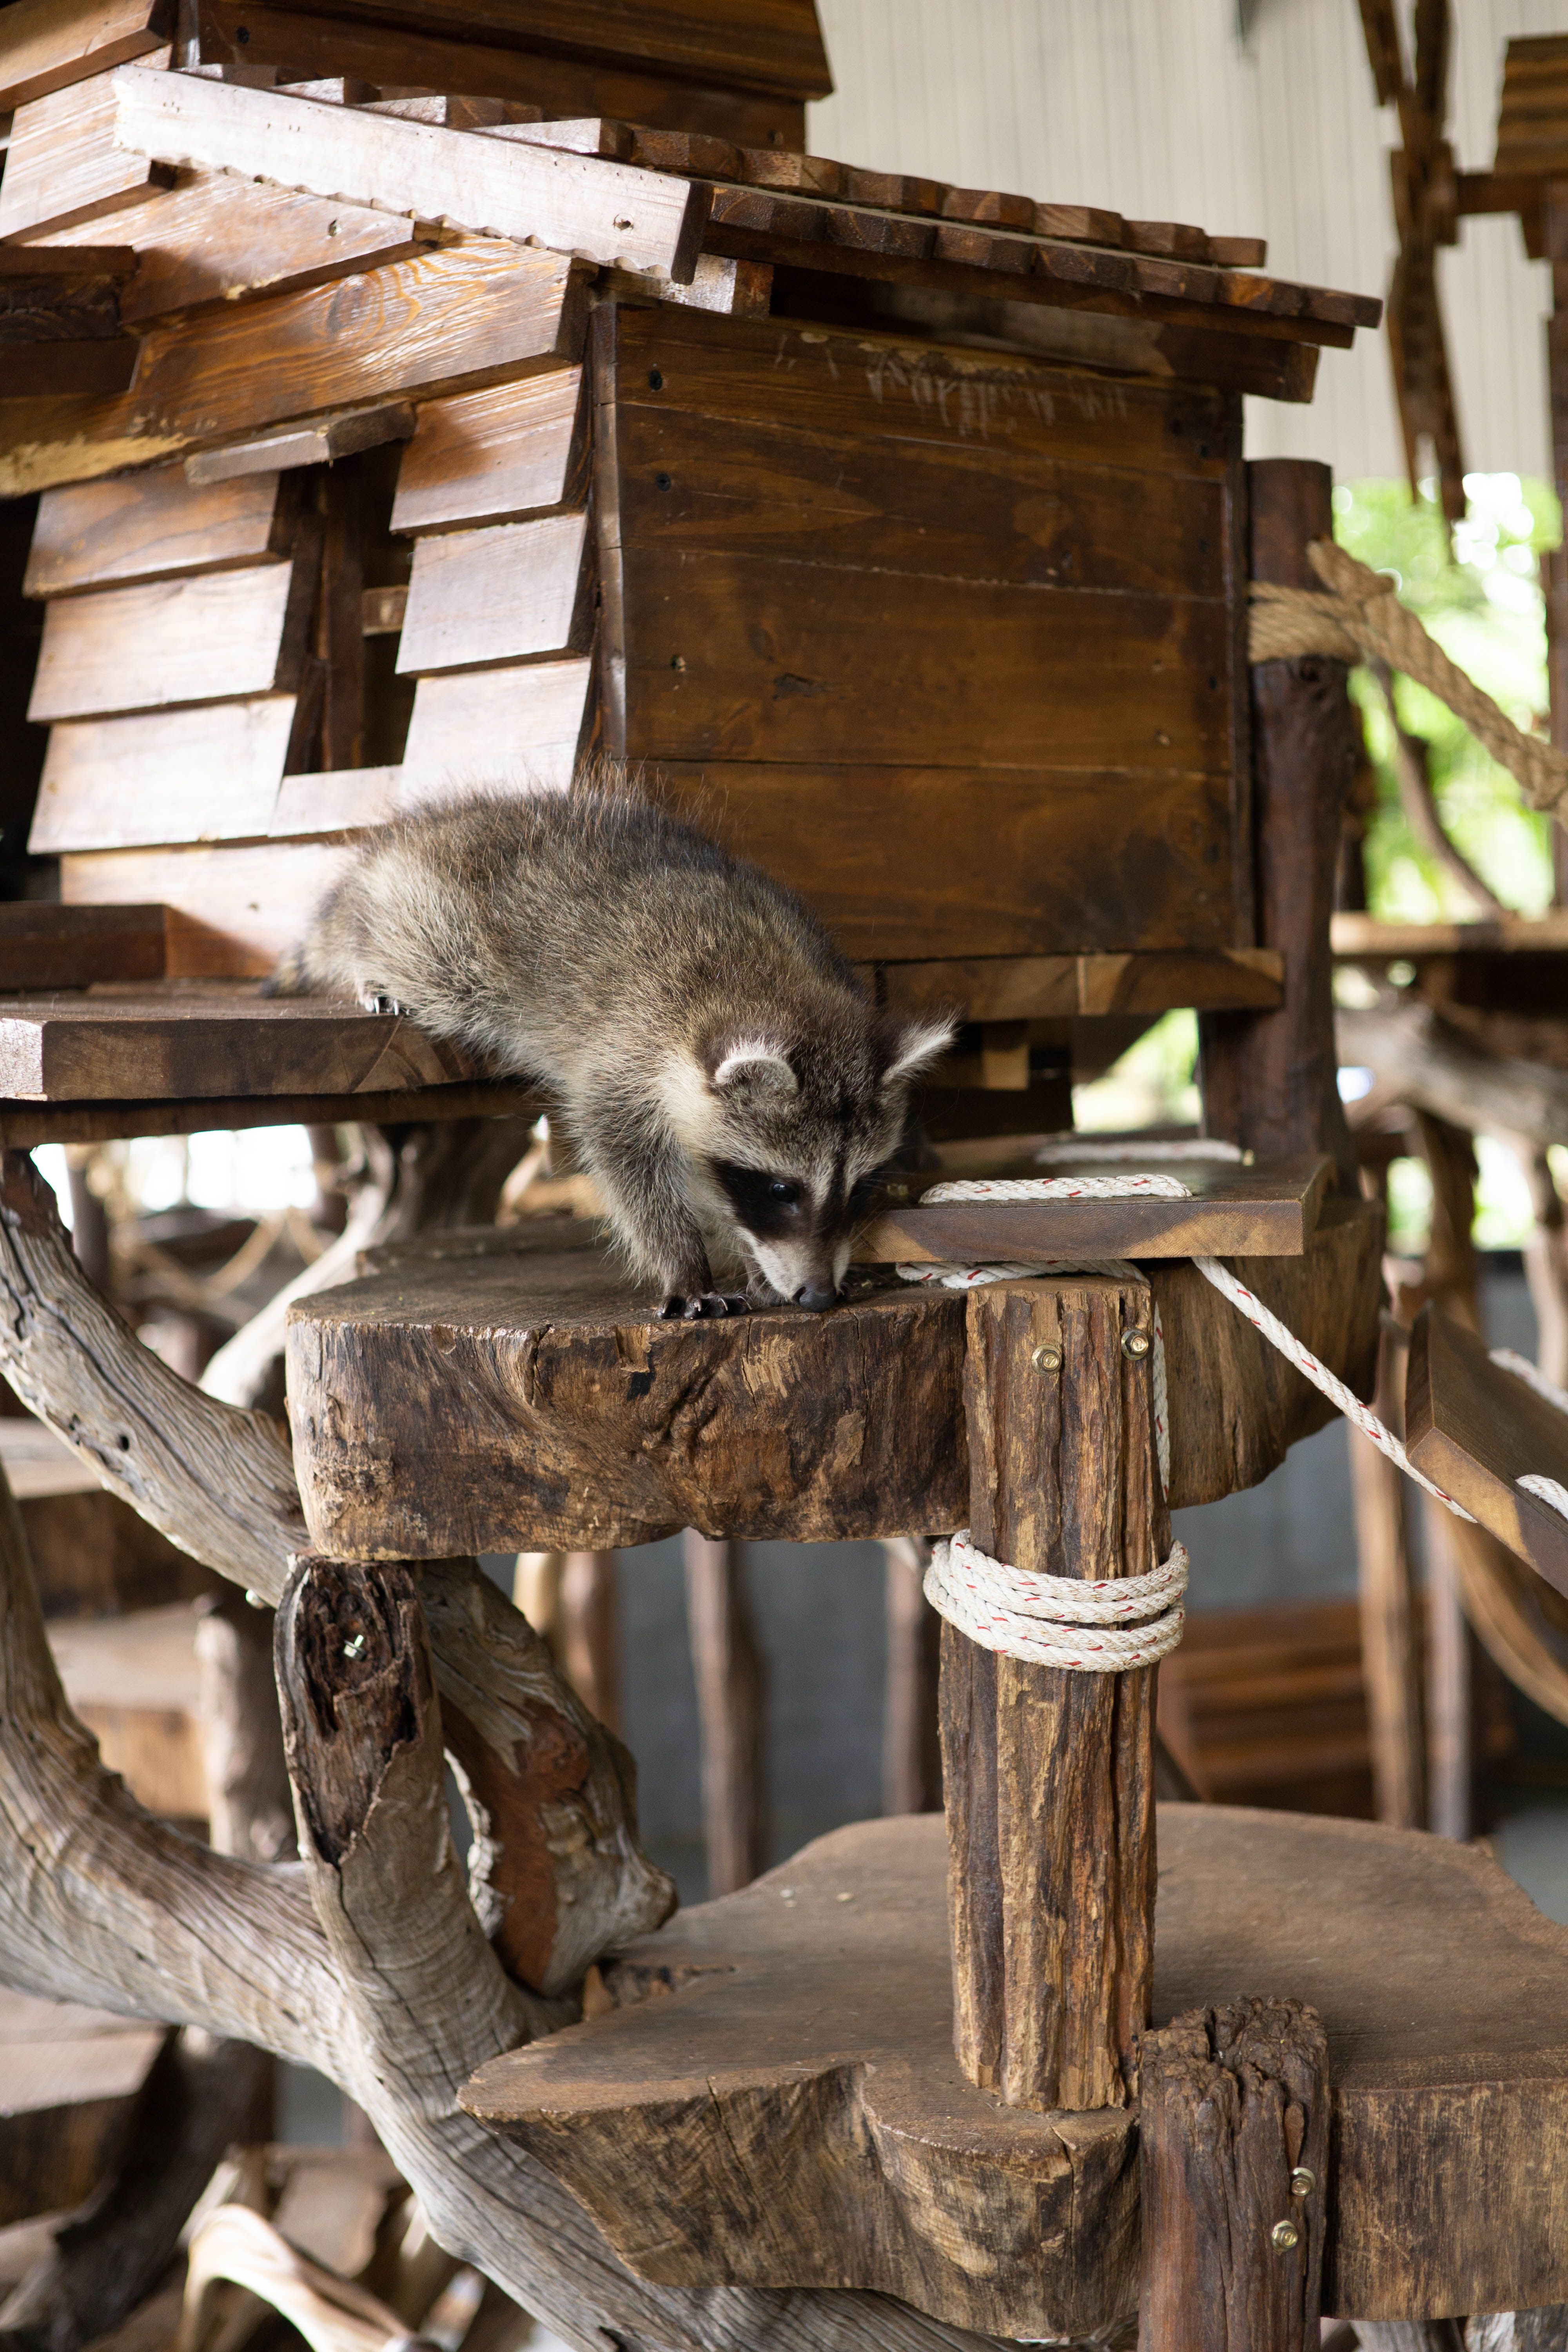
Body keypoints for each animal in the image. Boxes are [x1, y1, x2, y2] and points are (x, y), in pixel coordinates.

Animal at [272, 779, 955, 1316]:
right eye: (783, 1191)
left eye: (860, 1188)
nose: (818, 1296)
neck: (771, 984)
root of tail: (403, 841)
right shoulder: (627, 1051)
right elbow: (628, 1167)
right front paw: (685, 1262)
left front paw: (759, 1260)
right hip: (439, 929)